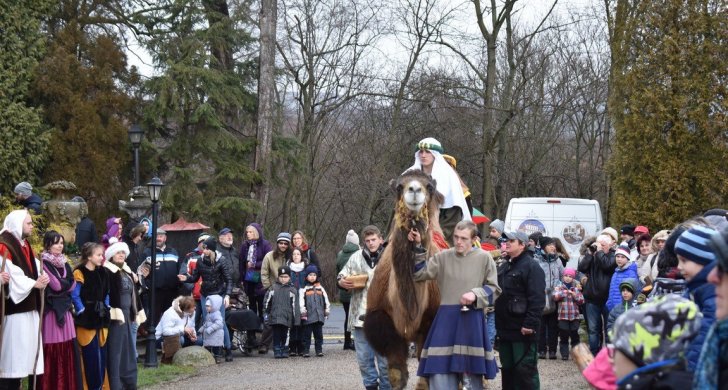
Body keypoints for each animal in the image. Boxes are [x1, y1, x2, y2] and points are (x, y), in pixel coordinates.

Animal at [364, 170, 444, 390]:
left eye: (429, 186)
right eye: (399, 187)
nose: (414, 189)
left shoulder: (432, 322)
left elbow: (426, 376)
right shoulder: (383, 325)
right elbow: (396, 374)